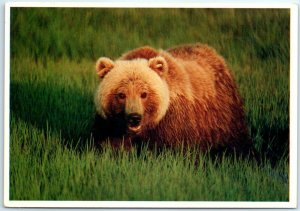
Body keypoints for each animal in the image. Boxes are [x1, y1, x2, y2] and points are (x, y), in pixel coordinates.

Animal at [92, 43, 252, 154]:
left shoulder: (174, 122)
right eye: (121, 94)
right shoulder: (110, 125)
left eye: (144, 93)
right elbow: (110, 145)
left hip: (223, 116)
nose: (134, 117)